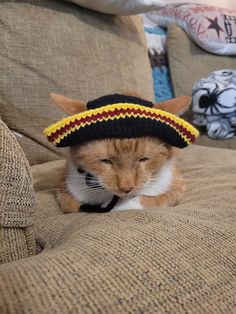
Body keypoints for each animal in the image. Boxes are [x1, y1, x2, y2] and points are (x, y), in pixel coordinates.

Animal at [50, 92, 192, 212]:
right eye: (105, 161)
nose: (126, 188)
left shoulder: (176, 188)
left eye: (143, 159)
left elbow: (142, 201)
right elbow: (72, 206)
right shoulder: (64, 187)